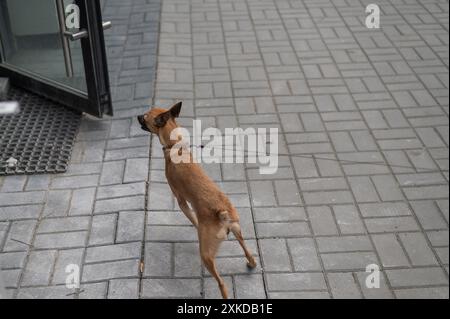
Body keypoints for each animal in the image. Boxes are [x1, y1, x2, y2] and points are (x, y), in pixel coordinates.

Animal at [137, 102, 256, 300]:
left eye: (145, 117)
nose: (137, 116)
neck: (175, 146)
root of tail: (222, 214)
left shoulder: (181, 201)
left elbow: (192, 218)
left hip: (206, 256)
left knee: (222, 283)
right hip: (238, 230)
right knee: (248, 251)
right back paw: (252, 263)